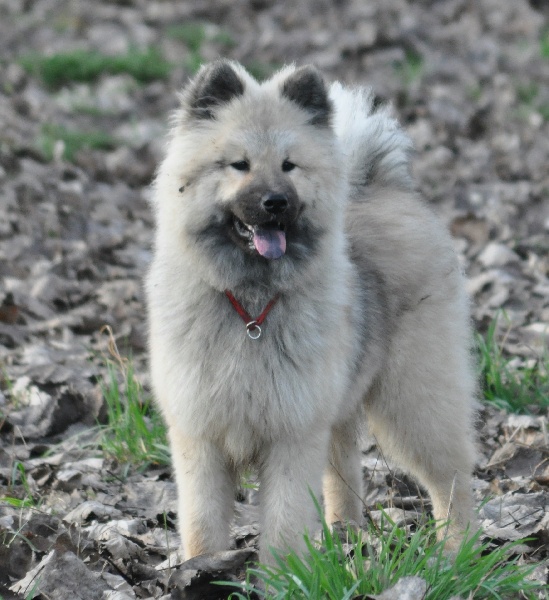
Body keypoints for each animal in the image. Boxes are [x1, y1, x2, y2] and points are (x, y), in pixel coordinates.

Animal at [146, 60, 477, 563]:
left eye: (289, 166)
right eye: (239, 164)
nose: (276, 202)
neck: (251, 310)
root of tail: (383, 186)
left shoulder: (291, 435)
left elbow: (284, 523)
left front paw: (281, 574)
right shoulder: (200, 436)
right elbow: (203, 523)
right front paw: (203, 568)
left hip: (414, 398)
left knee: (452, 476)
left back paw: (456, 552)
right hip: (344, 403)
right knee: (345, 468)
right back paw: (346, 535)